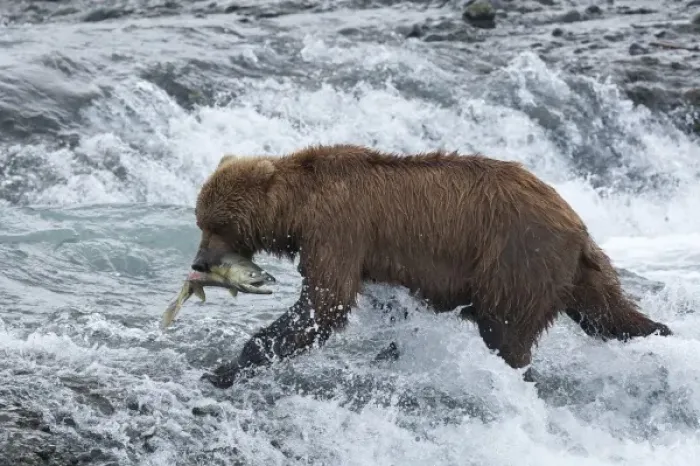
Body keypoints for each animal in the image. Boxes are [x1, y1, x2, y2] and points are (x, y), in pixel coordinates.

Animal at [192, 144, 673, 389]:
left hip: (517, 258)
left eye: (218, 225)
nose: (198, 261)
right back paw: (660, 331)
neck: (297, 208)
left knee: (507, 333)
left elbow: (324, 303)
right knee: (608, 315)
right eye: (200, 221)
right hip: (577, 271)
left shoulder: (339, 229)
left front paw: (225, 368)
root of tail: (575, 223)